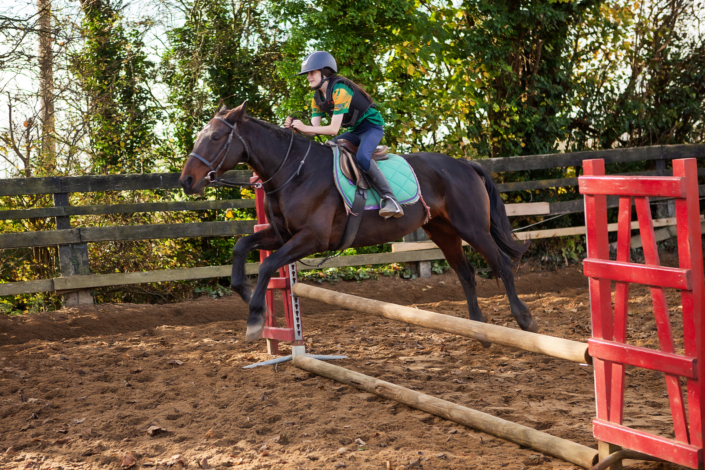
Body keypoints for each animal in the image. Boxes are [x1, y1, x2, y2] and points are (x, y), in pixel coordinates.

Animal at [179, 101, 536, 340]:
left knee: (502, 266)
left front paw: (255, 317)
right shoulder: (284, 235)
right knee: (467, 274)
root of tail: (465, 164)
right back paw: (478, 327)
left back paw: (525, 320)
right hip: (443, 231)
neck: (293, 170)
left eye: (215, 138)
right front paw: (246, 295)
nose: (186, 181)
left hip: (473, 228)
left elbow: (267, 265)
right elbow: (241, 247)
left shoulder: (312, 239)